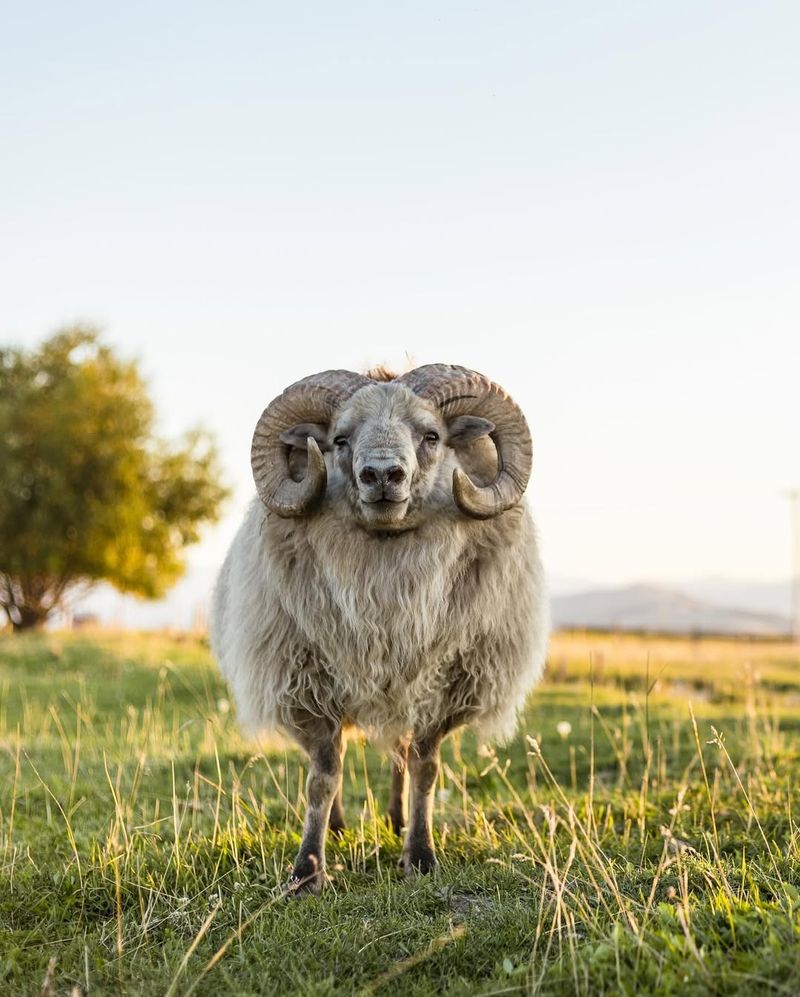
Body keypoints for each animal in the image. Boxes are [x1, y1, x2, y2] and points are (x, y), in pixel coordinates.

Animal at [212, 362, 552, 892]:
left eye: (432, 435)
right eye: (339, 439)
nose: (382, 475)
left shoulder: (444, 687)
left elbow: (425, 768)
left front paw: (421, 855)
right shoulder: (307, 686)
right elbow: (323, 776)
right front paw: (307, 870)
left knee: (400, 755)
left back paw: (397, 820)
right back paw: (339, 825)